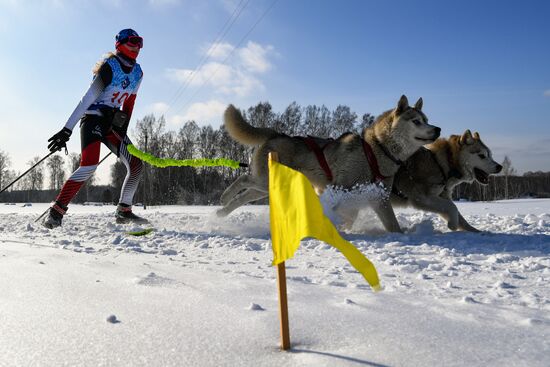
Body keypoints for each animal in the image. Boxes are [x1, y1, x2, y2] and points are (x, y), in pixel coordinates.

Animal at [218, 95, 442, 233]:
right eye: (416, 121)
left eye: (427, 119)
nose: (438, 129)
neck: (375, 151)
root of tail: (276, 134)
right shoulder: (339, 189)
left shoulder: (378, 198)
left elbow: (390, 224)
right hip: (265, 181)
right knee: (243, 179)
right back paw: (224, 196)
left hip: (266, 187)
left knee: (244, 196)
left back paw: (221, 212)